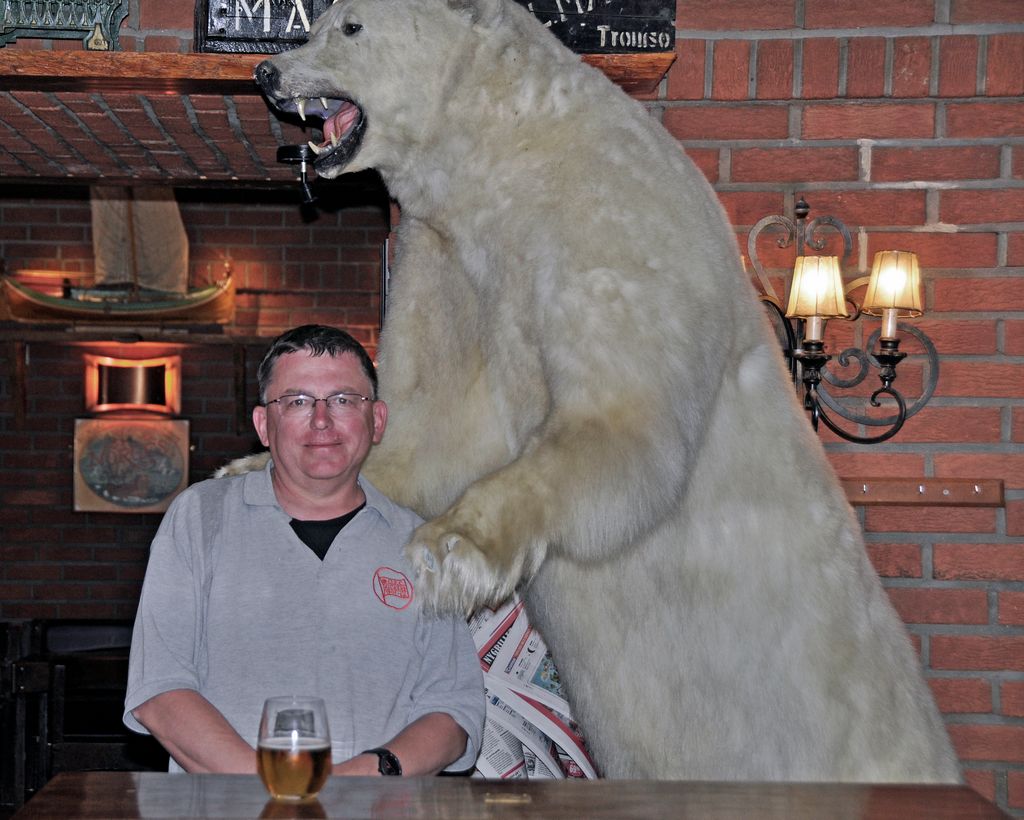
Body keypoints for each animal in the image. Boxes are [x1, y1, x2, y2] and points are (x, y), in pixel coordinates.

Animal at [253, 0, 958, 782]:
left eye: (348, 26)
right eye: (315, 19)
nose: (268, 72)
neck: (514, 152)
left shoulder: (612, 224)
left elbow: (620, 422)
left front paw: (451, 545)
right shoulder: (452, 257)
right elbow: (439, 422)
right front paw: (248, 467)